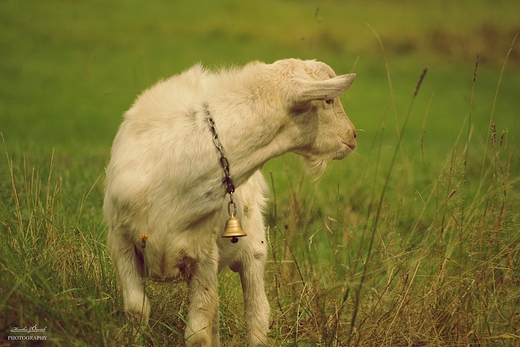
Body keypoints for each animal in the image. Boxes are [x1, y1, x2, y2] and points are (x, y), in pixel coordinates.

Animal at [105, 58, 358, 346]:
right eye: (328, 100)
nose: (353, 135)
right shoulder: (121, 241)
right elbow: (138, 309)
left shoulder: (204, 252)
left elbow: (197, 334)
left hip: (255, 248)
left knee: (257, 312)